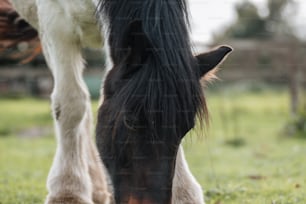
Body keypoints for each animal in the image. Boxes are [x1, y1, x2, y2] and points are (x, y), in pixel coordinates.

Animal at [2, 0, 232, 204]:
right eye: (130, 121)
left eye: (186, 128)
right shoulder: (55, 22)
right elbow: (70, 104)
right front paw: (68, 193)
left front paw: (184, 195)